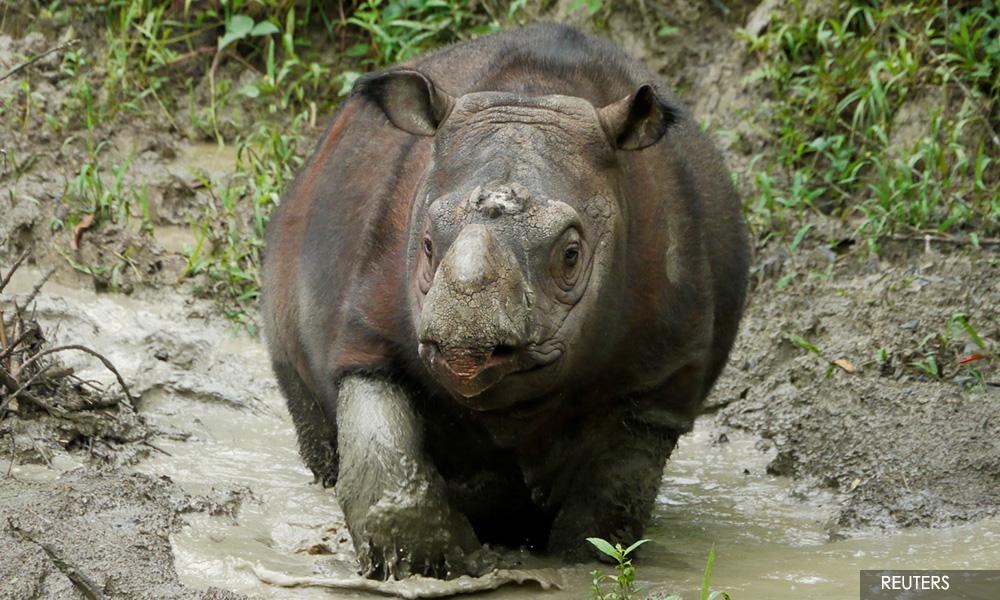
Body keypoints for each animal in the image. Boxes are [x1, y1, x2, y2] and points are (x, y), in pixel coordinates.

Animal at [262, 22, 749, 580]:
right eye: (424, 245)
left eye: (571, 255)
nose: (466, 345)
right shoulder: (369, 335)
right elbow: (385, 461)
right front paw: (443, 565)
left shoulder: (658, 383)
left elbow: (609, 507)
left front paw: (579, 567)